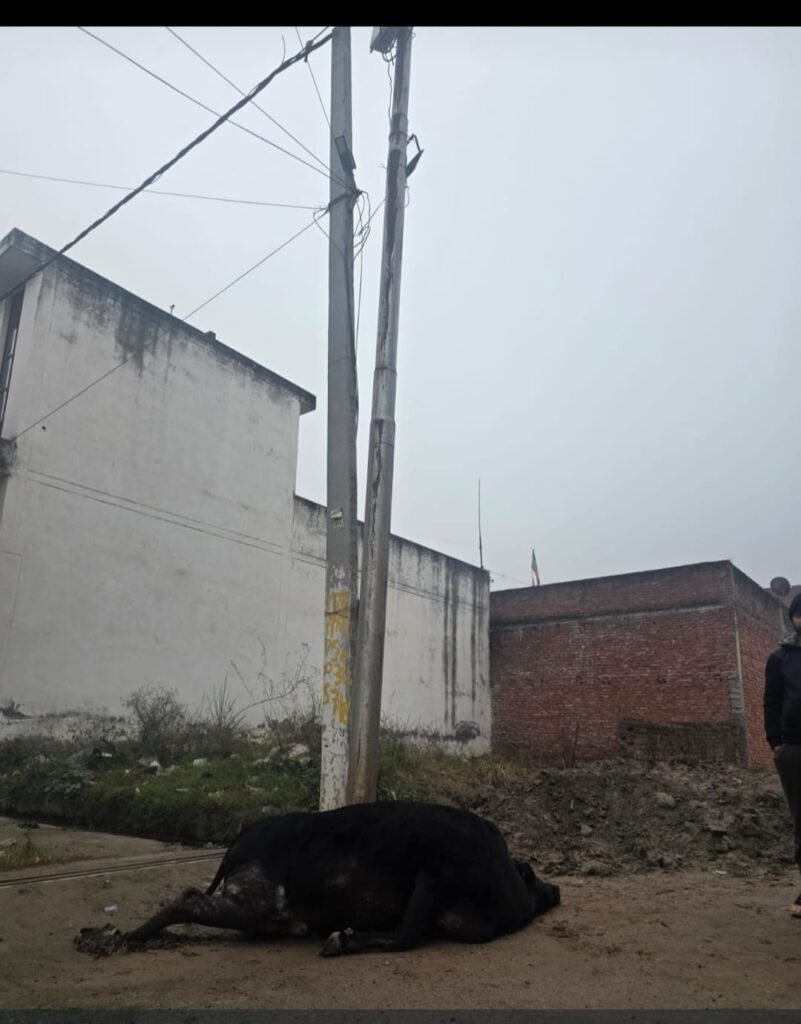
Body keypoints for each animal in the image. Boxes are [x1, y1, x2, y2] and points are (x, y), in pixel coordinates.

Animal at [123, 799, 561, 956]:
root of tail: (237, 844)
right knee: (191, 899)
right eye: (530, 874)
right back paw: (127, 937)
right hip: (260, 904)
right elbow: (404, 936)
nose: (556, 890)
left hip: (260, 912)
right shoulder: (434, 876)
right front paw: (341, 939)